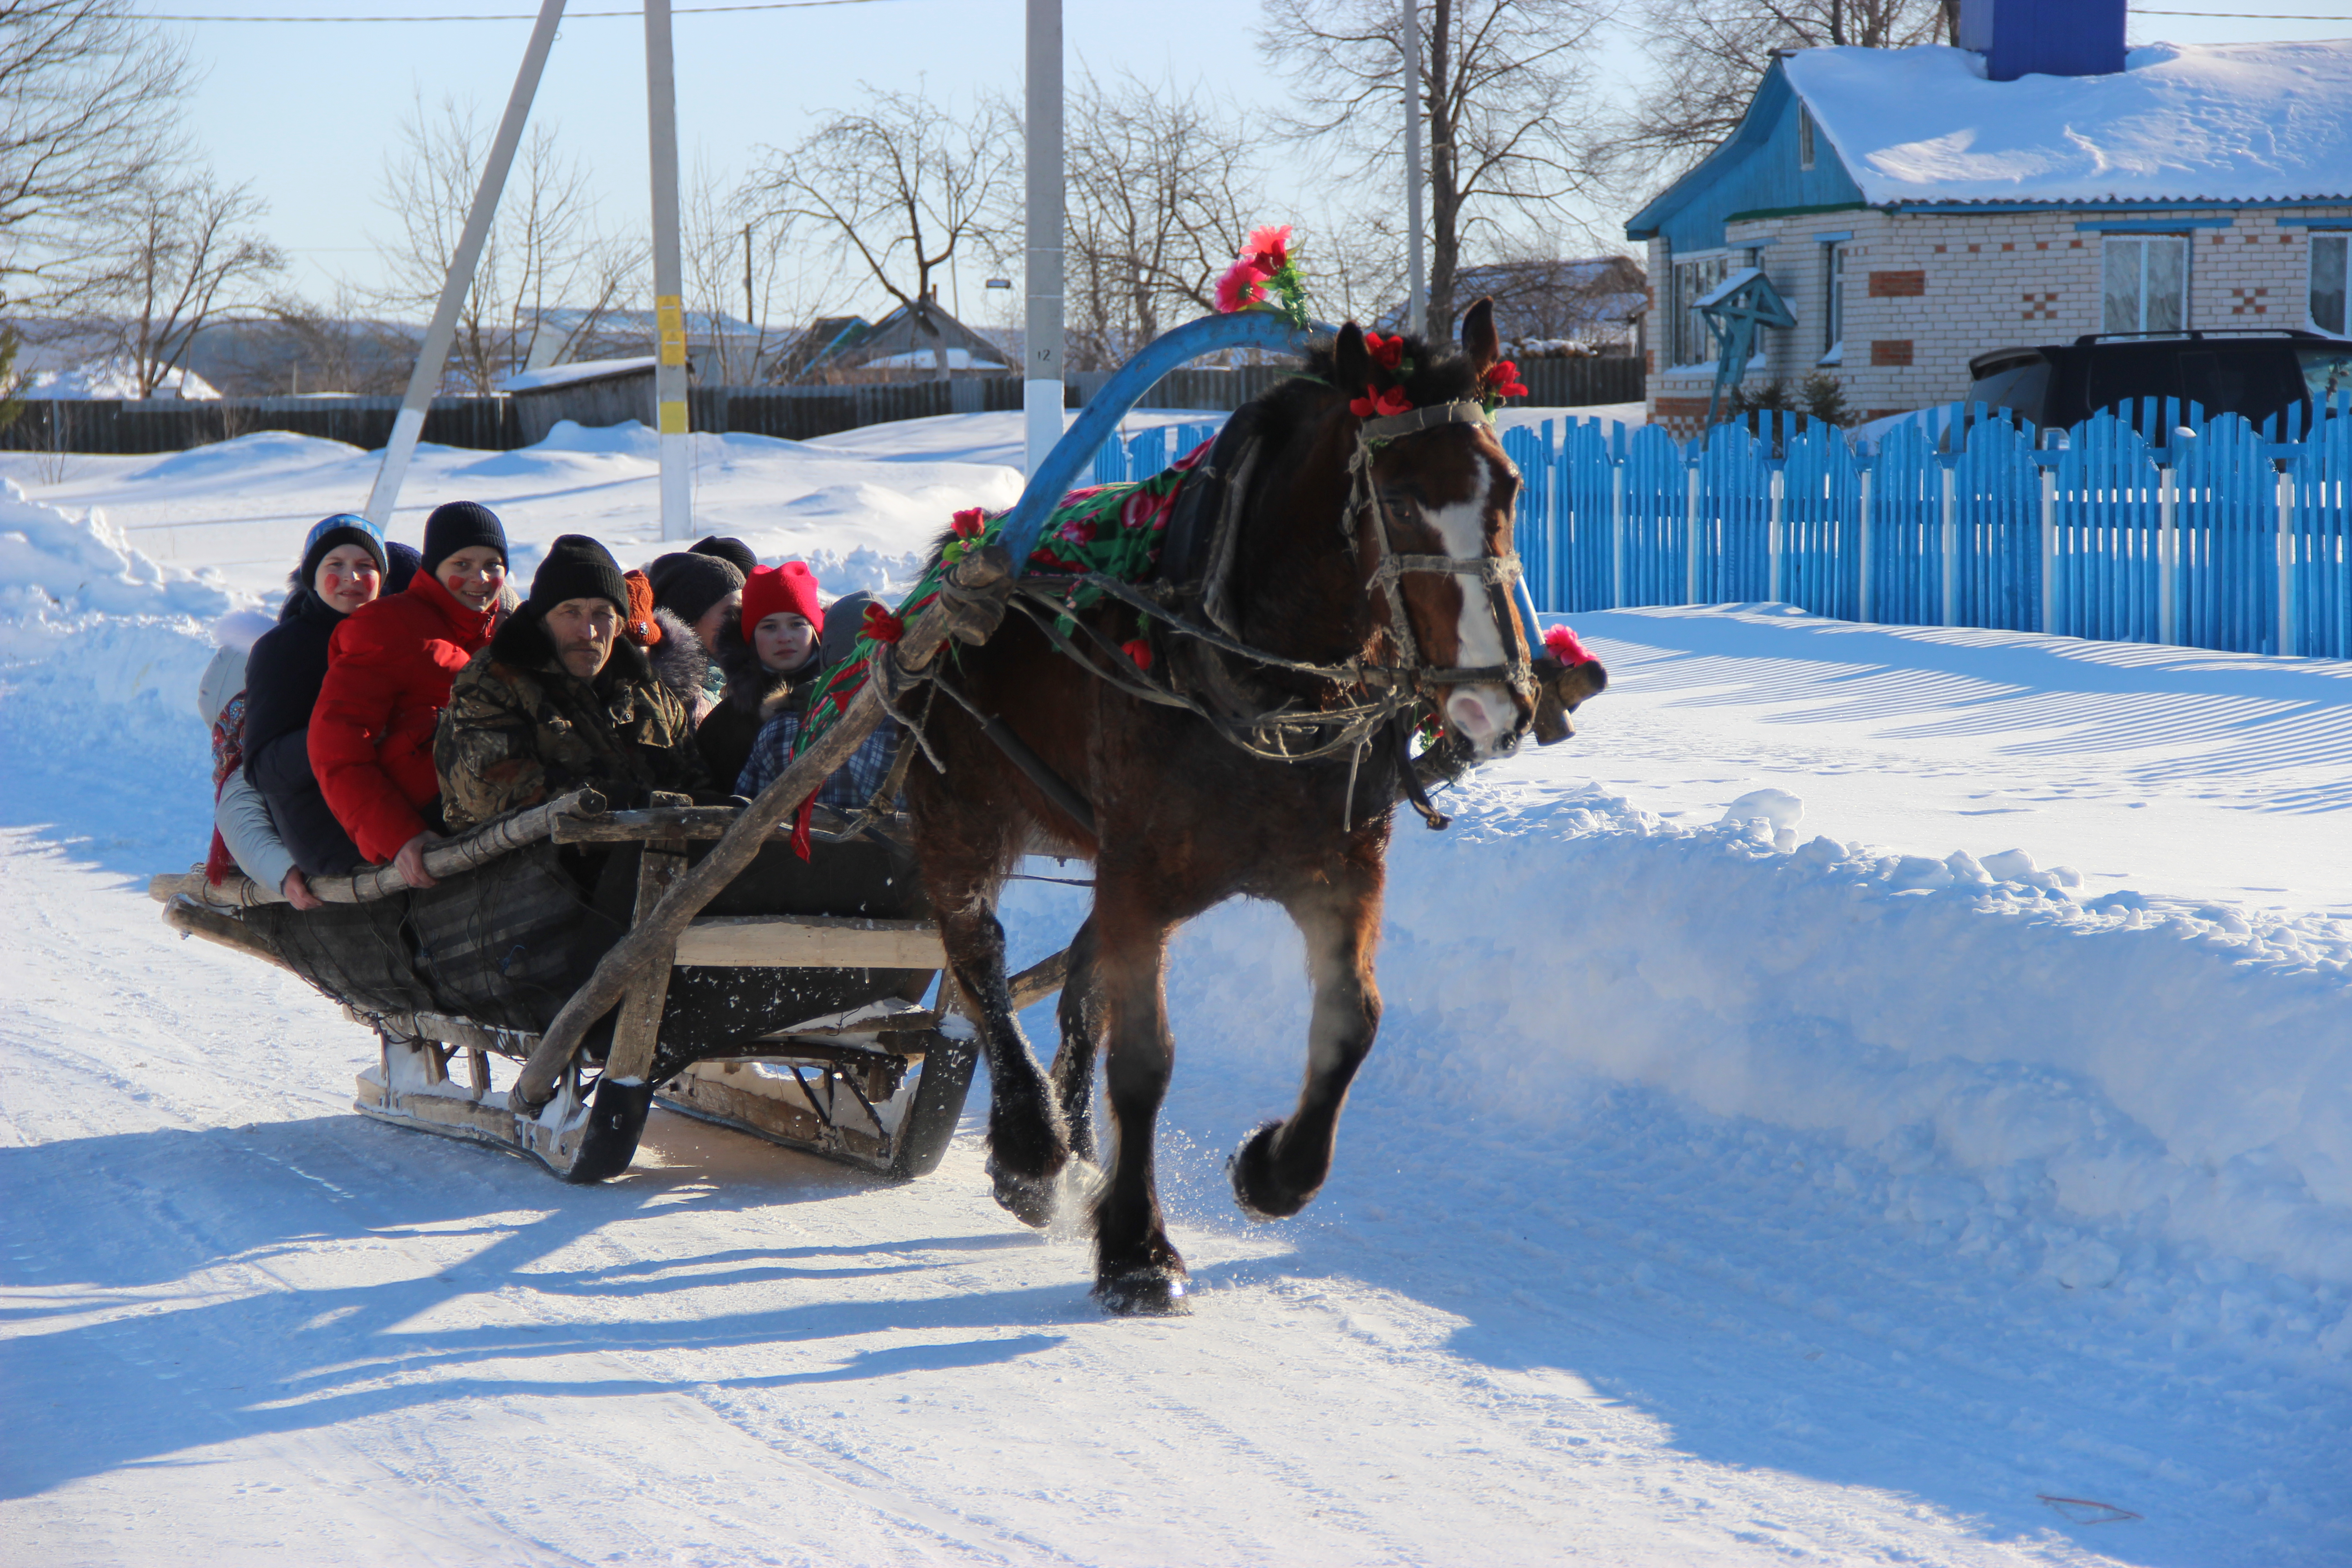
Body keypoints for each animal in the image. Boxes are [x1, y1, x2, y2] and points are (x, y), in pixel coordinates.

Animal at [898, 303, 1599, 1316]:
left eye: (1506, 485)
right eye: (1397, 502)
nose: (1492, 701)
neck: (1263, 676)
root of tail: (952, 563)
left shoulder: (1341, 869)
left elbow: (1352, 1022)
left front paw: (1273, 1170)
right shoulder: (1140, 876)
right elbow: (1144, 1061)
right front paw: (1137, 1251)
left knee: (1072, 986)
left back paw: (1070, 1143)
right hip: (961, 815)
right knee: (977, 960)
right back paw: (1030, 1148)